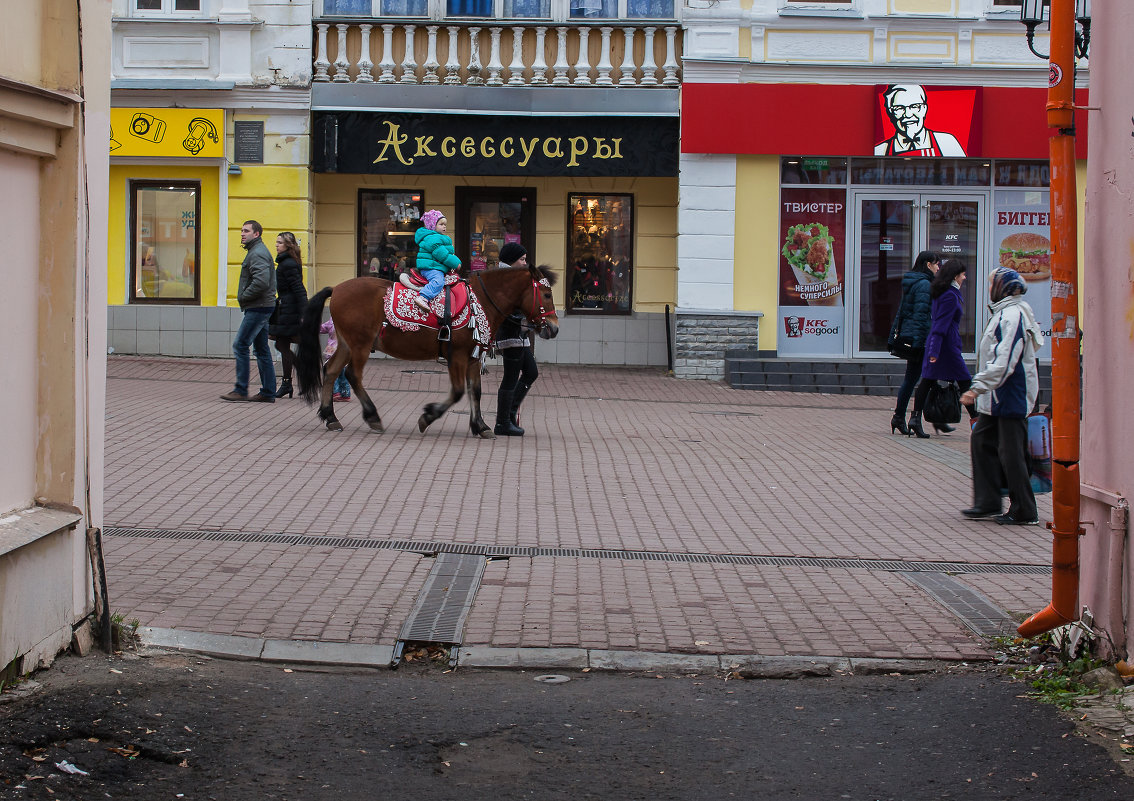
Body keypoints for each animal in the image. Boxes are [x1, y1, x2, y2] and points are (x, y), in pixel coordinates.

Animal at [292, 263, 557, 435]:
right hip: (360, 344)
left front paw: (480, 425)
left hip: (347, 344)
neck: (479, 301)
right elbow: (458, 392)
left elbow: (476, 392)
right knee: (352, 375)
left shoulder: (472, 358)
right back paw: (372, 416)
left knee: (330, 371)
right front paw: (428, 416)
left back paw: (331, 417)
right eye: (546, 294)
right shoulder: (456, 356)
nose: (553, 328)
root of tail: (336, 289)